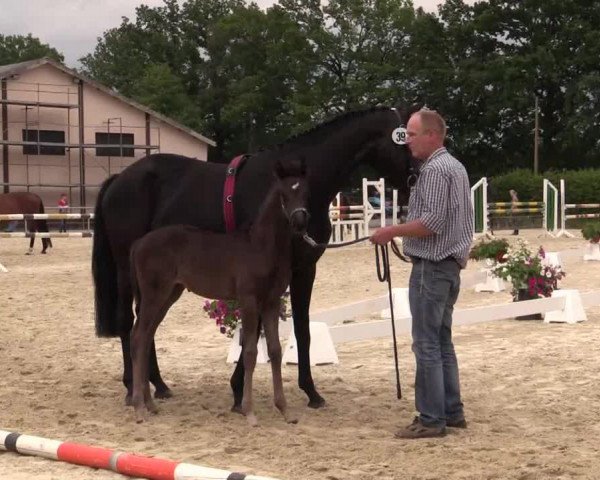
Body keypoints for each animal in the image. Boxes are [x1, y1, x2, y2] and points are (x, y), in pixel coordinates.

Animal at [129, 159, 308, 426]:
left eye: (305, 191)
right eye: (283, 195)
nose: (300, 222)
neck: (261, 246)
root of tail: (139, 243)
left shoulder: (271, 301)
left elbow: (275, 351)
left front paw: (285, 410)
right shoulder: (249, 300)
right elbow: (251, 352)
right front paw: (250, 412)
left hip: (169, 295)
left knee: (146, 335)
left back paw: (150, 405)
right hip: (154, 295)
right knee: (139, 336)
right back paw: (139, 407)